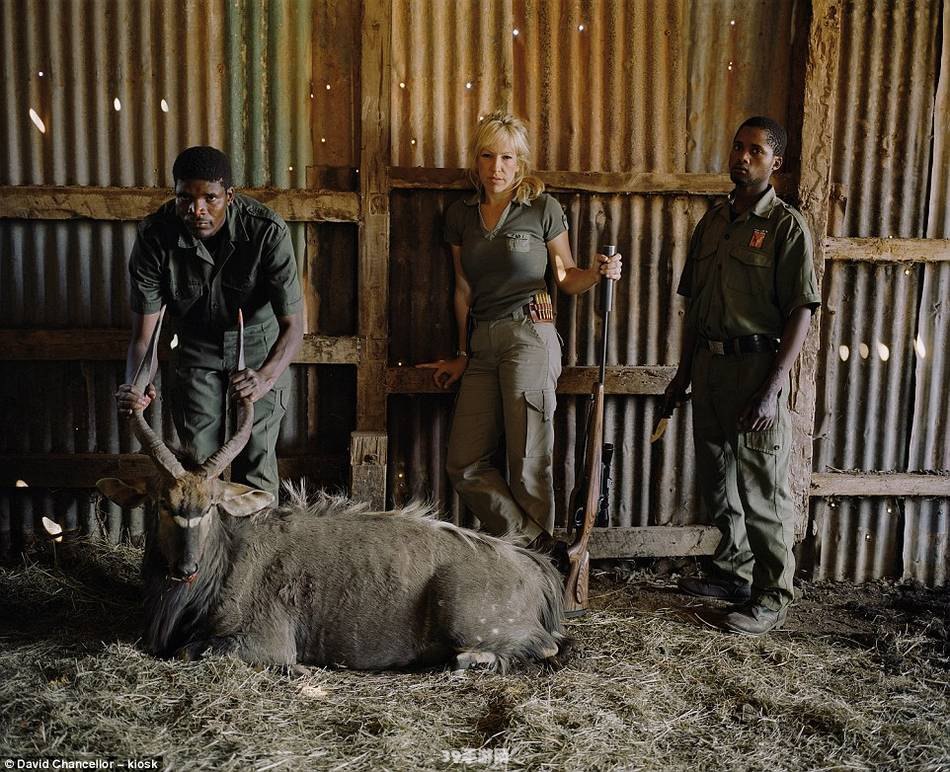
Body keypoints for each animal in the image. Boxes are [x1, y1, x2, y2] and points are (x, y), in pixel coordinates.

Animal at [96, 308, 568, 668]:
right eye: (162, 502)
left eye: (211, 505)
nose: (185, 568)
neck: (227, 558)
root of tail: (538, 571)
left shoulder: (265, 643)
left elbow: (192, 651)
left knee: (541, 646)